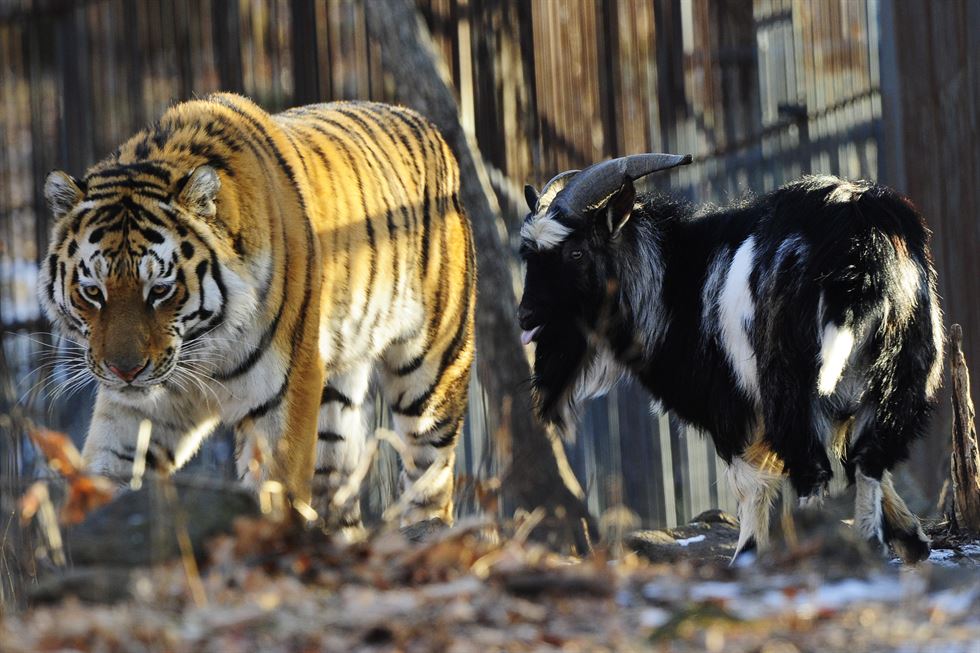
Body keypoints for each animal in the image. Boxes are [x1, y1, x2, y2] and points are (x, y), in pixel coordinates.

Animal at [40, 93, 476, 528]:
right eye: (93, 292)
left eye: (160, 290)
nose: (124, 371)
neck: (203, 346)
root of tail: (424, 122)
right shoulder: (135, 410)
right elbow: (106, 473)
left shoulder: (284, 395)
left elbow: (277, 496)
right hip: (334, 396)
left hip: (432, 372)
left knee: (430, 472)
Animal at [520, 155, 940, 564]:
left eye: (575, 252)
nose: (525, 317)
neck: (674, 281)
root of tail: (857, 246)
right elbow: (860, 460)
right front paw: (910, 537)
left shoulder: (728, 405)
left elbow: (749, 483)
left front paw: (746, 553)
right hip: (902, 369)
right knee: (870, 455)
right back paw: (869, 542)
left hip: (792, 384)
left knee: (813, 468)